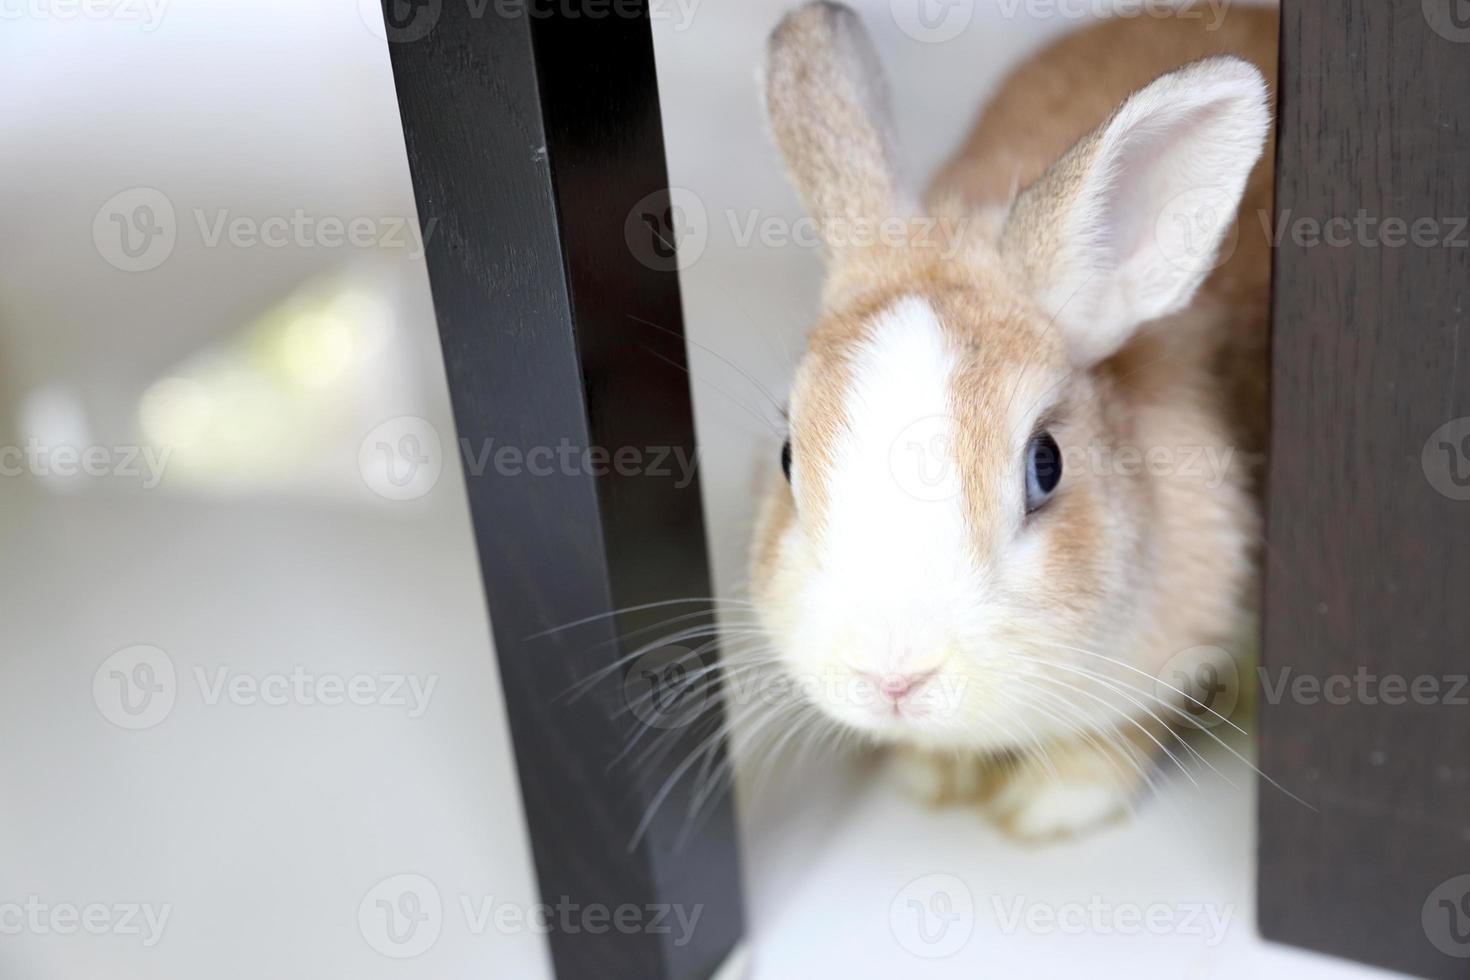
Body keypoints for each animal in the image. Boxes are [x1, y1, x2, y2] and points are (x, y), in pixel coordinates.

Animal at [746, 1, 1275, 846]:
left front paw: (1045, 811)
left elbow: (1118, 734)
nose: (893, 678)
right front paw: (931, 779)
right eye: (789, 458)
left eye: (1046, 464)